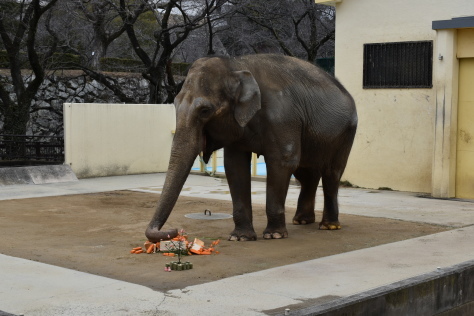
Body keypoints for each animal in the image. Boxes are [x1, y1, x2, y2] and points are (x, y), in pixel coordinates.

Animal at [146, 54, 358, 242]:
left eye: (205, 110)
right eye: (174, 104)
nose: (173, 231)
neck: (235, 65)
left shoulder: (283, 119)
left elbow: (282, 162)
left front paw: (274, 235)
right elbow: (235, 166)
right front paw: (240, 238)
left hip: (346, 133)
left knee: (331, 173)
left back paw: (328, 226)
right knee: (306, 174)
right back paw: (301, 221)